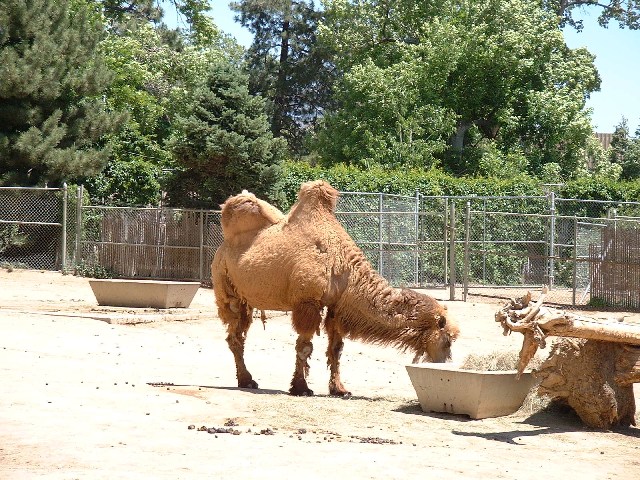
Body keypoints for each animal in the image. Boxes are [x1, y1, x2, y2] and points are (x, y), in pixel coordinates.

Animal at [211, 180, 459, 396]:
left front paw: (340, 389)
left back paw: (246, 379)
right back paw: (247, 380)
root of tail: (223, 247)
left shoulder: (337, 307)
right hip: (227, 289)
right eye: (448, 340)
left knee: (238, 335)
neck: (346, 271)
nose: (446, 362)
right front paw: (301, 388)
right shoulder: (307, 303)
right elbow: (304, 347)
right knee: (235, 336)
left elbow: (336, 349)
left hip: (246, 299)